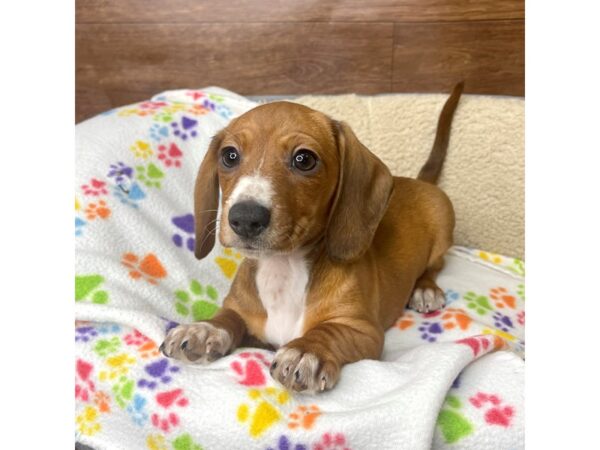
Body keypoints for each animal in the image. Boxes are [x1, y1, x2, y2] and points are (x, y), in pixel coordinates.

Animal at [161, 82, 464, 392]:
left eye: (304, 159)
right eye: (229, 155)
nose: (245, 218)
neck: (282, 269)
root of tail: (420, 182)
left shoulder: (364, 331)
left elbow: (330, 331)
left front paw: (306, 349)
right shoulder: (247, 319)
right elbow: (229, 317)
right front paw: (204, 328)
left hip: (443, 230)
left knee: (435, 266)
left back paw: (425, 289)